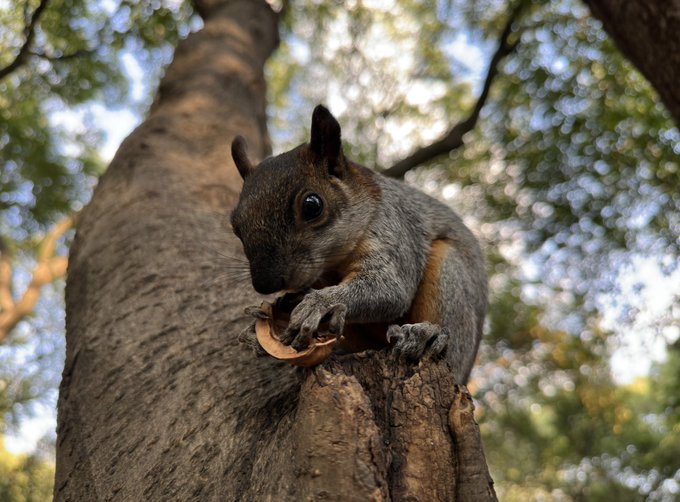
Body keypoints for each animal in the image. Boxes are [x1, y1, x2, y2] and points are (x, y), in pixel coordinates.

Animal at [230, 105, 487, 384]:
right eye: (235, 225)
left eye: (312, 206)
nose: (265, 284)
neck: (333, 263)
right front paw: (256, 329)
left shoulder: (394, 229)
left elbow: (390, 289)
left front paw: (318, 304)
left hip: (448, 275)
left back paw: (428, 335)